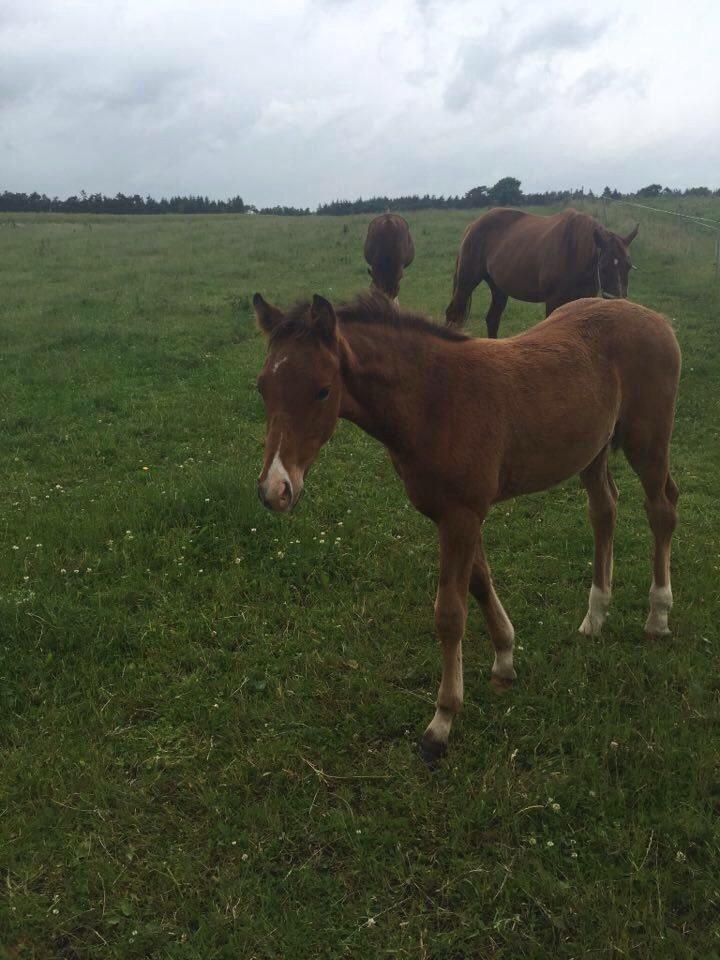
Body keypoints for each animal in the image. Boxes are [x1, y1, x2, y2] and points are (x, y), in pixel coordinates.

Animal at [253, 292, 680, 764]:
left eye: (323, 390)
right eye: (262, 387)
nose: (276, 490)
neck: (433, 399)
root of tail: (655, 318)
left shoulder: (460, 515)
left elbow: (449, 614)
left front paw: (441, 723)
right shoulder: (457, 514)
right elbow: (478, 581)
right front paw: (505, 661)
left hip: (648, 441)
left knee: (661, 509)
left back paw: (658, 616)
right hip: (594, 448)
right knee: (604, 509)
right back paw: (595, 616)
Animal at [444, 207, 640, 338]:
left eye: (628, 266)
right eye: (604, 267)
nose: (619, 305)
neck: (573, 250)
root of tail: (473, 224)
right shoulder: (553, 301)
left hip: (499, 288)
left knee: (492, 319)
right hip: (466, 282)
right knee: (453, 314)